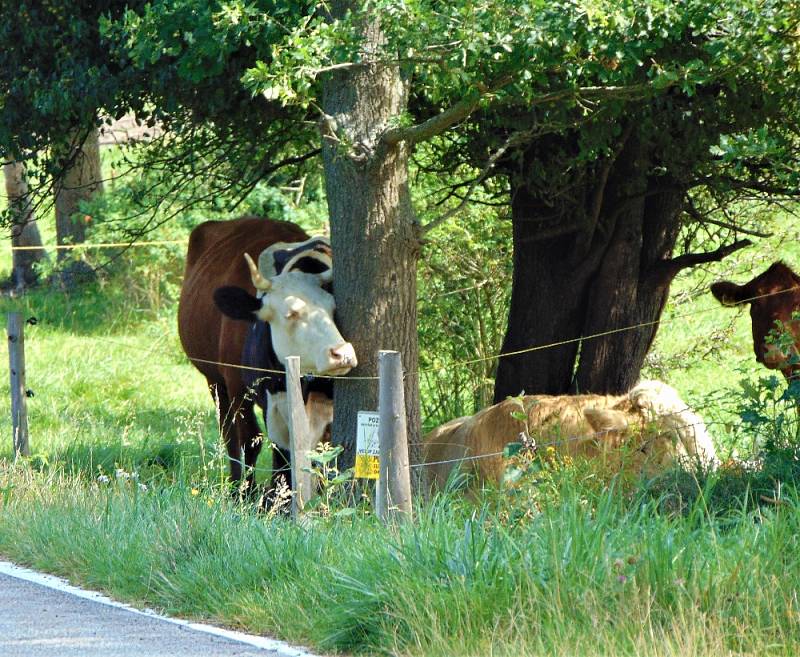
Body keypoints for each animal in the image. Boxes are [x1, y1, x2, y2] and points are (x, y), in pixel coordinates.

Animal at [181, 218, 360, 494]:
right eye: (291, 313)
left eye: (333, 309)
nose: (342, 353)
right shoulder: (242, 388)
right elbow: (256, 442)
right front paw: (259, 493)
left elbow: (321, 450)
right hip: (215, 381)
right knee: (230, 433)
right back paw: (236, 485)